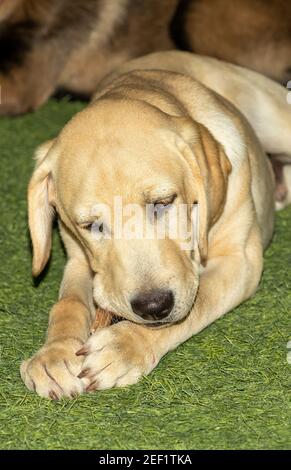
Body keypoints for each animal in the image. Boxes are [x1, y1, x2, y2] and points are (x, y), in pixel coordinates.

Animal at [21, 51, 291, 398]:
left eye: (163, 202)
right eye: (92, 225)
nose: (153, 306)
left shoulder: (238, 260)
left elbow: (198, 302)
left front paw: (125, 345)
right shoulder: (80, 261)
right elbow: (69, 303)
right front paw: (54, 353)